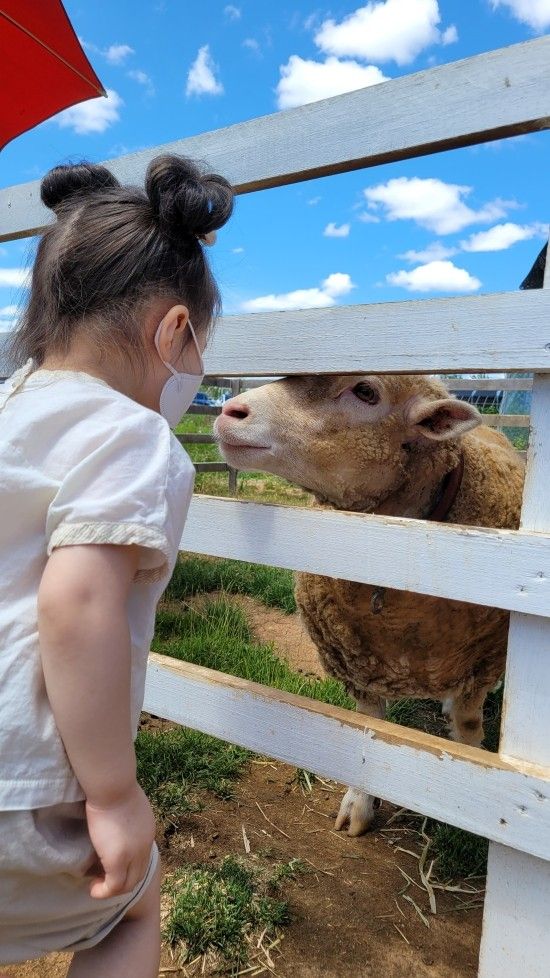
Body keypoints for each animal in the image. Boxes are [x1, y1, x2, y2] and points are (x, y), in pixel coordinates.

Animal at [215, 374, 528, 832]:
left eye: (365, 391)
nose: (228, 411)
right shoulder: (356, 661)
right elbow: (367, 730)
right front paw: (359, 805)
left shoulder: (483, 659)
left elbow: (469, 725)